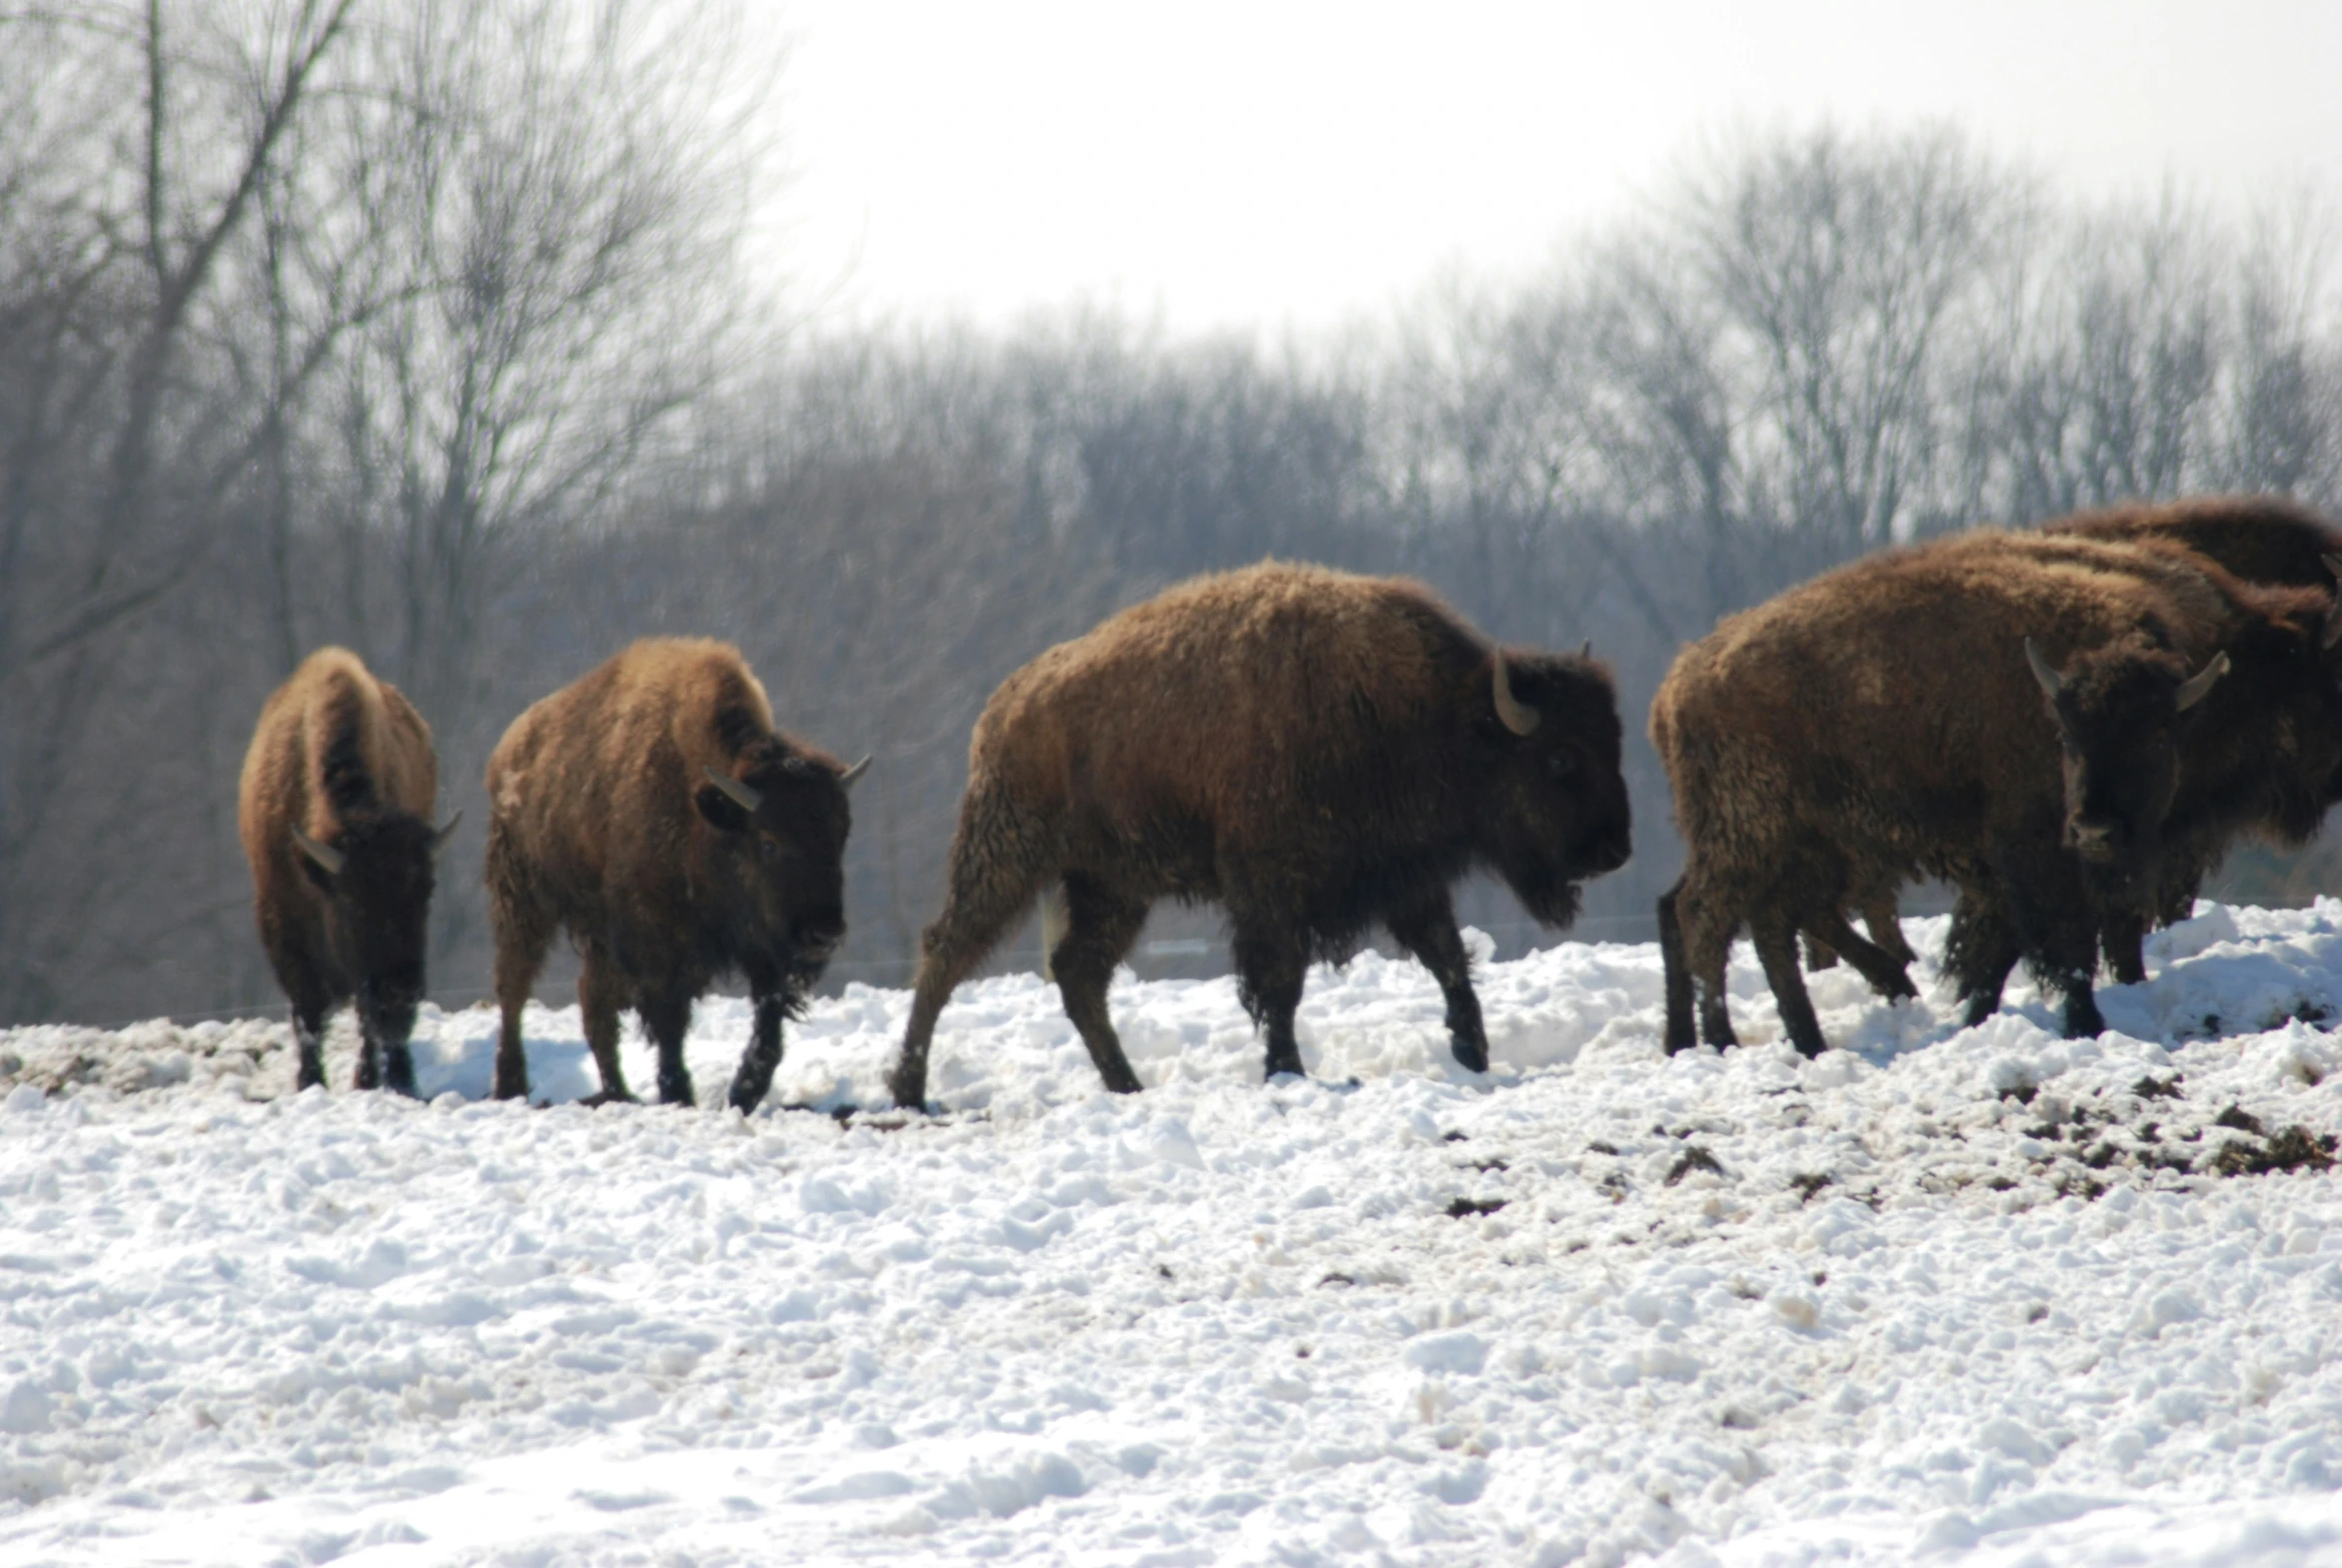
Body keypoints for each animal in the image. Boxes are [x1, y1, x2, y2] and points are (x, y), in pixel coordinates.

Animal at [238, 645, 456, 1100]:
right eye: (353, 902)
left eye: (427, 893)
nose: (402, 991)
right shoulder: (280, 920)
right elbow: (307, 1012)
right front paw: (309, 1083)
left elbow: (363, 1017)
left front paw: (376, 1081)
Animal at [479, 641, 866, 1119]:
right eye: (769, 842)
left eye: (840, 836)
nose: (823, 932)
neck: (705, 815)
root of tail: (508, 751)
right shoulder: (657, 944)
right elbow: (669, 1020)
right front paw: (679, 1093)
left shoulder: (765, 950)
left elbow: (768, 1022)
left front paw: (744, 1092)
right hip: (523, 899)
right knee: (514, 986)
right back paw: (511, 1085)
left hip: (597, 936)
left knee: (594, 1004)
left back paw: (618, 1093)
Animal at [880, 559, 1630, 1114]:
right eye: (1559, 758)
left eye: (1611, 742)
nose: (1614, 850)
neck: (1433, 715)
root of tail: (1004, 706)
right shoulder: (1271, 887)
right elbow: (1280, 982)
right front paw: (1285, 1071)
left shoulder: (1403, 876)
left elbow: (1448, 960)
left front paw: (1474, 1056)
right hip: (1009, 856)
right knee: (949, 951)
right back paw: (909, 1089)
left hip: (1112, 886)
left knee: (1078, 973)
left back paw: (1127, 1085)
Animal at [1648, 528, 2285, 1058]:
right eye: (2066, 735)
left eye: (2157, 736)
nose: (2095, 829)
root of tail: (1680, 682)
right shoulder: (2031, 853)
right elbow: (2061, 941)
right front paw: (2085, 1023)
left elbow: (2001, 950)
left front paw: (1977, 1017)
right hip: (1751, 837)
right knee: (1705, 916)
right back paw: (1725, 1040)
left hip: (1791, 844)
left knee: (1751, 922)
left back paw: (1788, 1040)